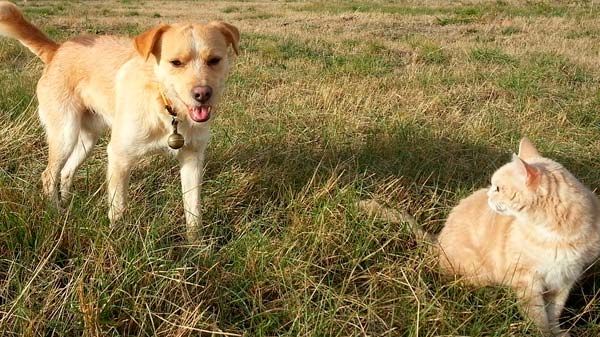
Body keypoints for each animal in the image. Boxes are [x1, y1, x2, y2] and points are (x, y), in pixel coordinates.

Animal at [0, 1, 239, 240]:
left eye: (214, 60)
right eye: (176, 63)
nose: (203, 94)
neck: (164, 106)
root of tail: (57, 50)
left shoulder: (192, 158)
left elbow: (193, 210)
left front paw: (195, 244)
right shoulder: (119, 157)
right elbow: (118, 208)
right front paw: (116, 239)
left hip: (88, 139)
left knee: (66, 171)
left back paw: (67, 204)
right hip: (65, 134)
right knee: (49, 175)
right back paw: (56, 213)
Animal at [360, 138, 600, 334]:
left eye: (498, 188)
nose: (488, 195)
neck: (556, 234)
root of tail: (438, 241)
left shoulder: (566, 279)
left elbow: (554, 313)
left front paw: (557, 332)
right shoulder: (526, 280)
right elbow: (538, 317)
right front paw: (542, 333)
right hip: (479, 273)